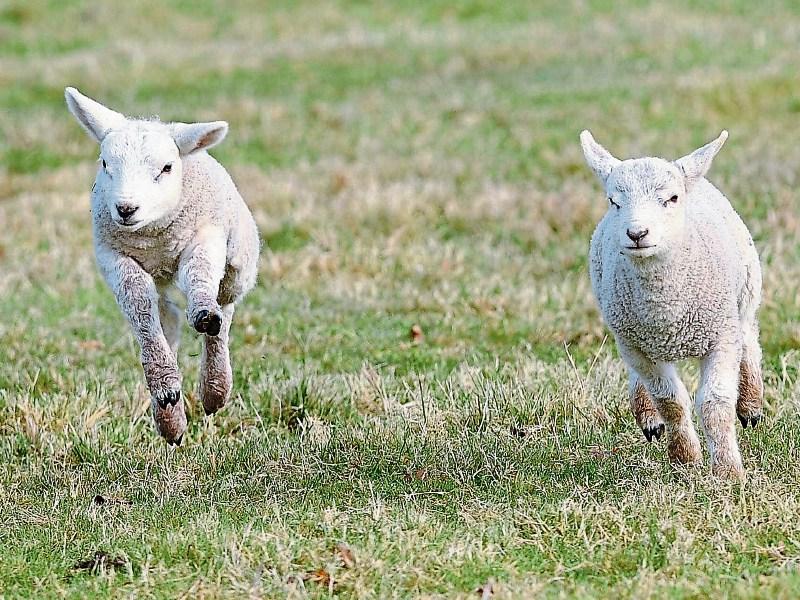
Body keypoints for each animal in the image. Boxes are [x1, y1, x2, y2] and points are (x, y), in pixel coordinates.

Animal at [65, 87, 260, 445]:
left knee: (224, 310)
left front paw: (203, 313)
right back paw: (171, 417)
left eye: (167, 167)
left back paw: (214, 388)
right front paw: (166, 389)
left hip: (238, 263)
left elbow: (200, 274)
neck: (153, 240)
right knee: (166, 318)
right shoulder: (113, 257)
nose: (126, 208)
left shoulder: (204, 237)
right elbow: (139, 304)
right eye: (105, 163)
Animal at [580, 129, 763, 479]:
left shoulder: (721, 335)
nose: (637, 233)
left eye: (672, 199)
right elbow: (671, 401)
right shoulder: (639, 345)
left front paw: (728, 471)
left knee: (748, 337)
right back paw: (648, 416)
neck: (666, 313)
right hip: (626, 333)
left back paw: (751, 403)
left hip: (746, 290)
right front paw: (685, 458)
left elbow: (715, 402)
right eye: (613, 201)